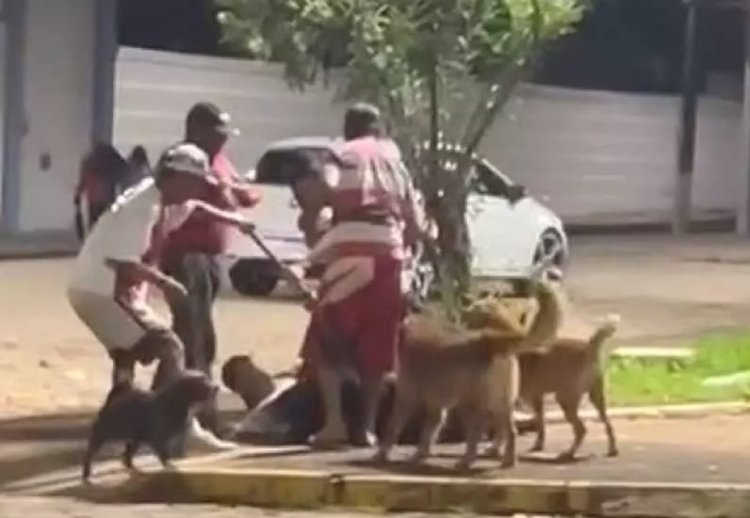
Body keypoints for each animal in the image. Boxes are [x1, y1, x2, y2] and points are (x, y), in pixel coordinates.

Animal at [81, 370, 217, 484]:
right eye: (202, 381)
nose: (216, 387)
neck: (175, 400)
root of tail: (111, 402)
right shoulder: (158, 438)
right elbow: (164, 454)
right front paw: (169, 466)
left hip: (135, 440)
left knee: (126, 456)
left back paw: (133, 469)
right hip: (103, 434)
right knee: (90, 454)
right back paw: (86, 473)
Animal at [376, 280, 564, 472]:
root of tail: (489, 342)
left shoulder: (406, 398)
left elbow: (393, 429)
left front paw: (382, 454)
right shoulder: (437, 406)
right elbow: (428, 434)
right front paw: (419, 455)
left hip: (470, 406)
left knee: (476, 435)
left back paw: (466, 461)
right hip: (501, 405)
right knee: (510, 432)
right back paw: (507, 461)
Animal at [520, 314, 620, 462]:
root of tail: (588, 348)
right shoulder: (537, 398)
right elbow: (541, 424)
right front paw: (538, 444)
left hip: (565, 399)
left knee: (581, 430)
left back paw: (569, 453)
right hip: (596, 398)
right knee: (608, 424)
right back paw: (612, 450)